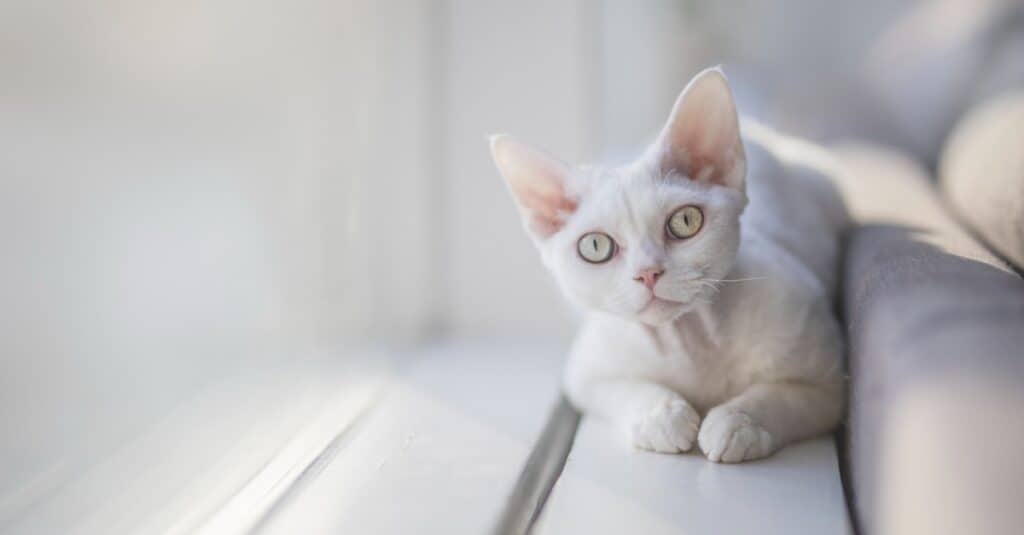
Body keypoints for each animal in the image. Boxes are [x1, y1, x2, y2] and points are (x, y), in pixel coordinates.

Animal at [487, 66, 847, 459]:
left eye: (685, 221)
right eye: (595, 246)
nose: (647, 273)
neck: (690, 340)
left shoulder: (829, 384)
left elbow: (783, 398)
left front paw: (739, 421)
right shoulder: (585, 375)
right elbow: (625, 390)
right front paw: (662, 416)